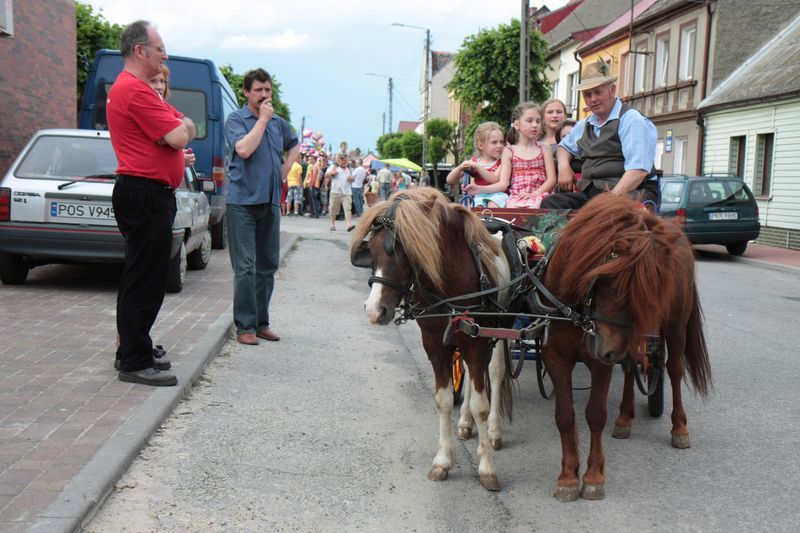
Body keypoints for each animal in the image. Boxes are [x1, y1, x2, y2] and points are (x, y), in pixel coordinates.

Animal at [348, 187, 512, 490]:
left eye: (405, 251)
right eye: (371, 250)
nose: (374, 310)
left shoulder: (478, 344)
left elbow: (482, 405)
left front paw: (486, 467)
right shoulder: (435, 346)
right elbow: (444, 400)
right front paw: (442, 461)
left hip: (500, 331)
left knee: (495, 373)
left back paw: (494, 431)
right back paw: (465, 423)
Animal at [544, 193, 712, 500]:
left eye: (646, 290)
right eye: (608, 282)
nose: (608, 350)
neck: (576, 309)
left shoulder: (601, 361)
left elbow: (595, 414)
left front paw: (594, 476)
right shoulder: (555, 357)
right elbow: (564, 416)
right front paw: (568, 477)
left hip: (674, 326)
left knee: (674, 369)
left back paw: (679, 427)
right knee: (632, 368)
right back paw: (624, 418)